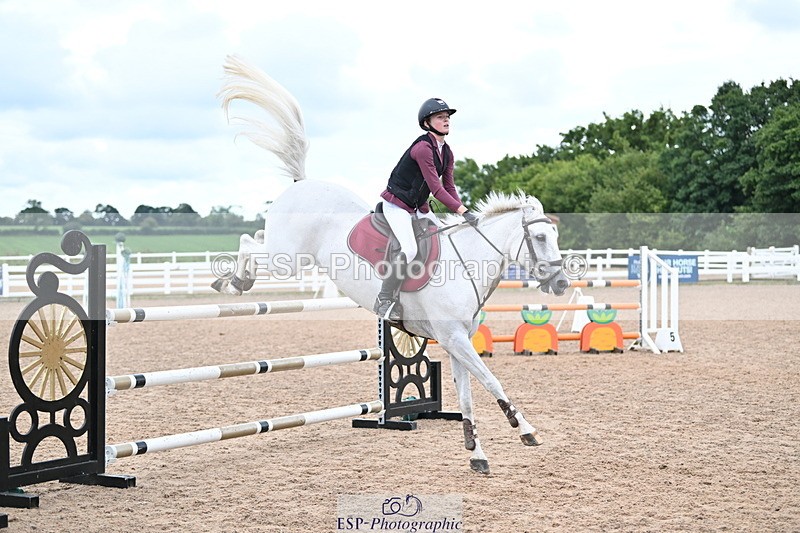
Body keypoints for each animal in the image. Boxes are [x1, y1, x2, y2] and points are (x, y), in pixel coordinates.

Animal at [212, 55, 570, 474]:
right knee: (248, 243)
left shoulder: (456, 341)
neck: (467, 263)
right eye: (541, 237)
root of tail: (302, 183)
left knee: (252, 239)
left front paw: (476, 453)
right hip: (287, 259)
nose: (561, 284)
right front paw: (525, 429)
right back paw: (233, 282)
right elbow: (492, 381)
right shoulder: (455, 338)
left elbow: (467, 394)